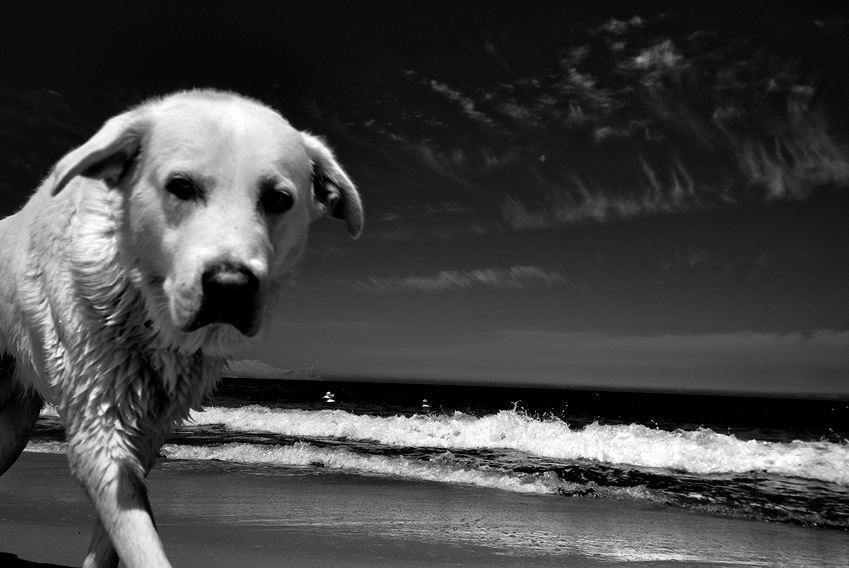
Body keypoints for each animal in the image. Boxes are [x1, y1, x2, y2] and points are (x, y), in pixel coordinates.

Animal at [0, 89, 363, 568]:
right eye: (181, 186)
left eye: (279, 199)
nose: (230, 287)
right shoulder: (99, 421)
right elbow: (139, 539)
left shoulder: (148, 428)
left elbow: (113, 538)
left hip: (14, 424)